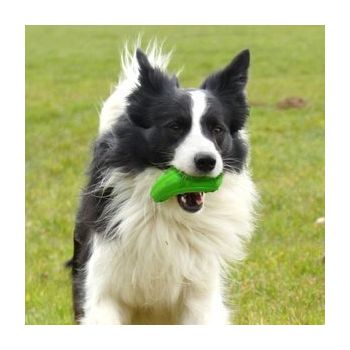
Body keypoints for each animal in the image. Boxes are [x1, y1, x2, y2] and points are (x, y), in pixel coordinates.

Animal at [69, 41, 258, 326]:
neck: (165, 212)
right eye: (175, 126)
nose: (206, 161)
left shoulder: (200, 293)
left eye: (217, 129)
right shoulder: (102, 286)